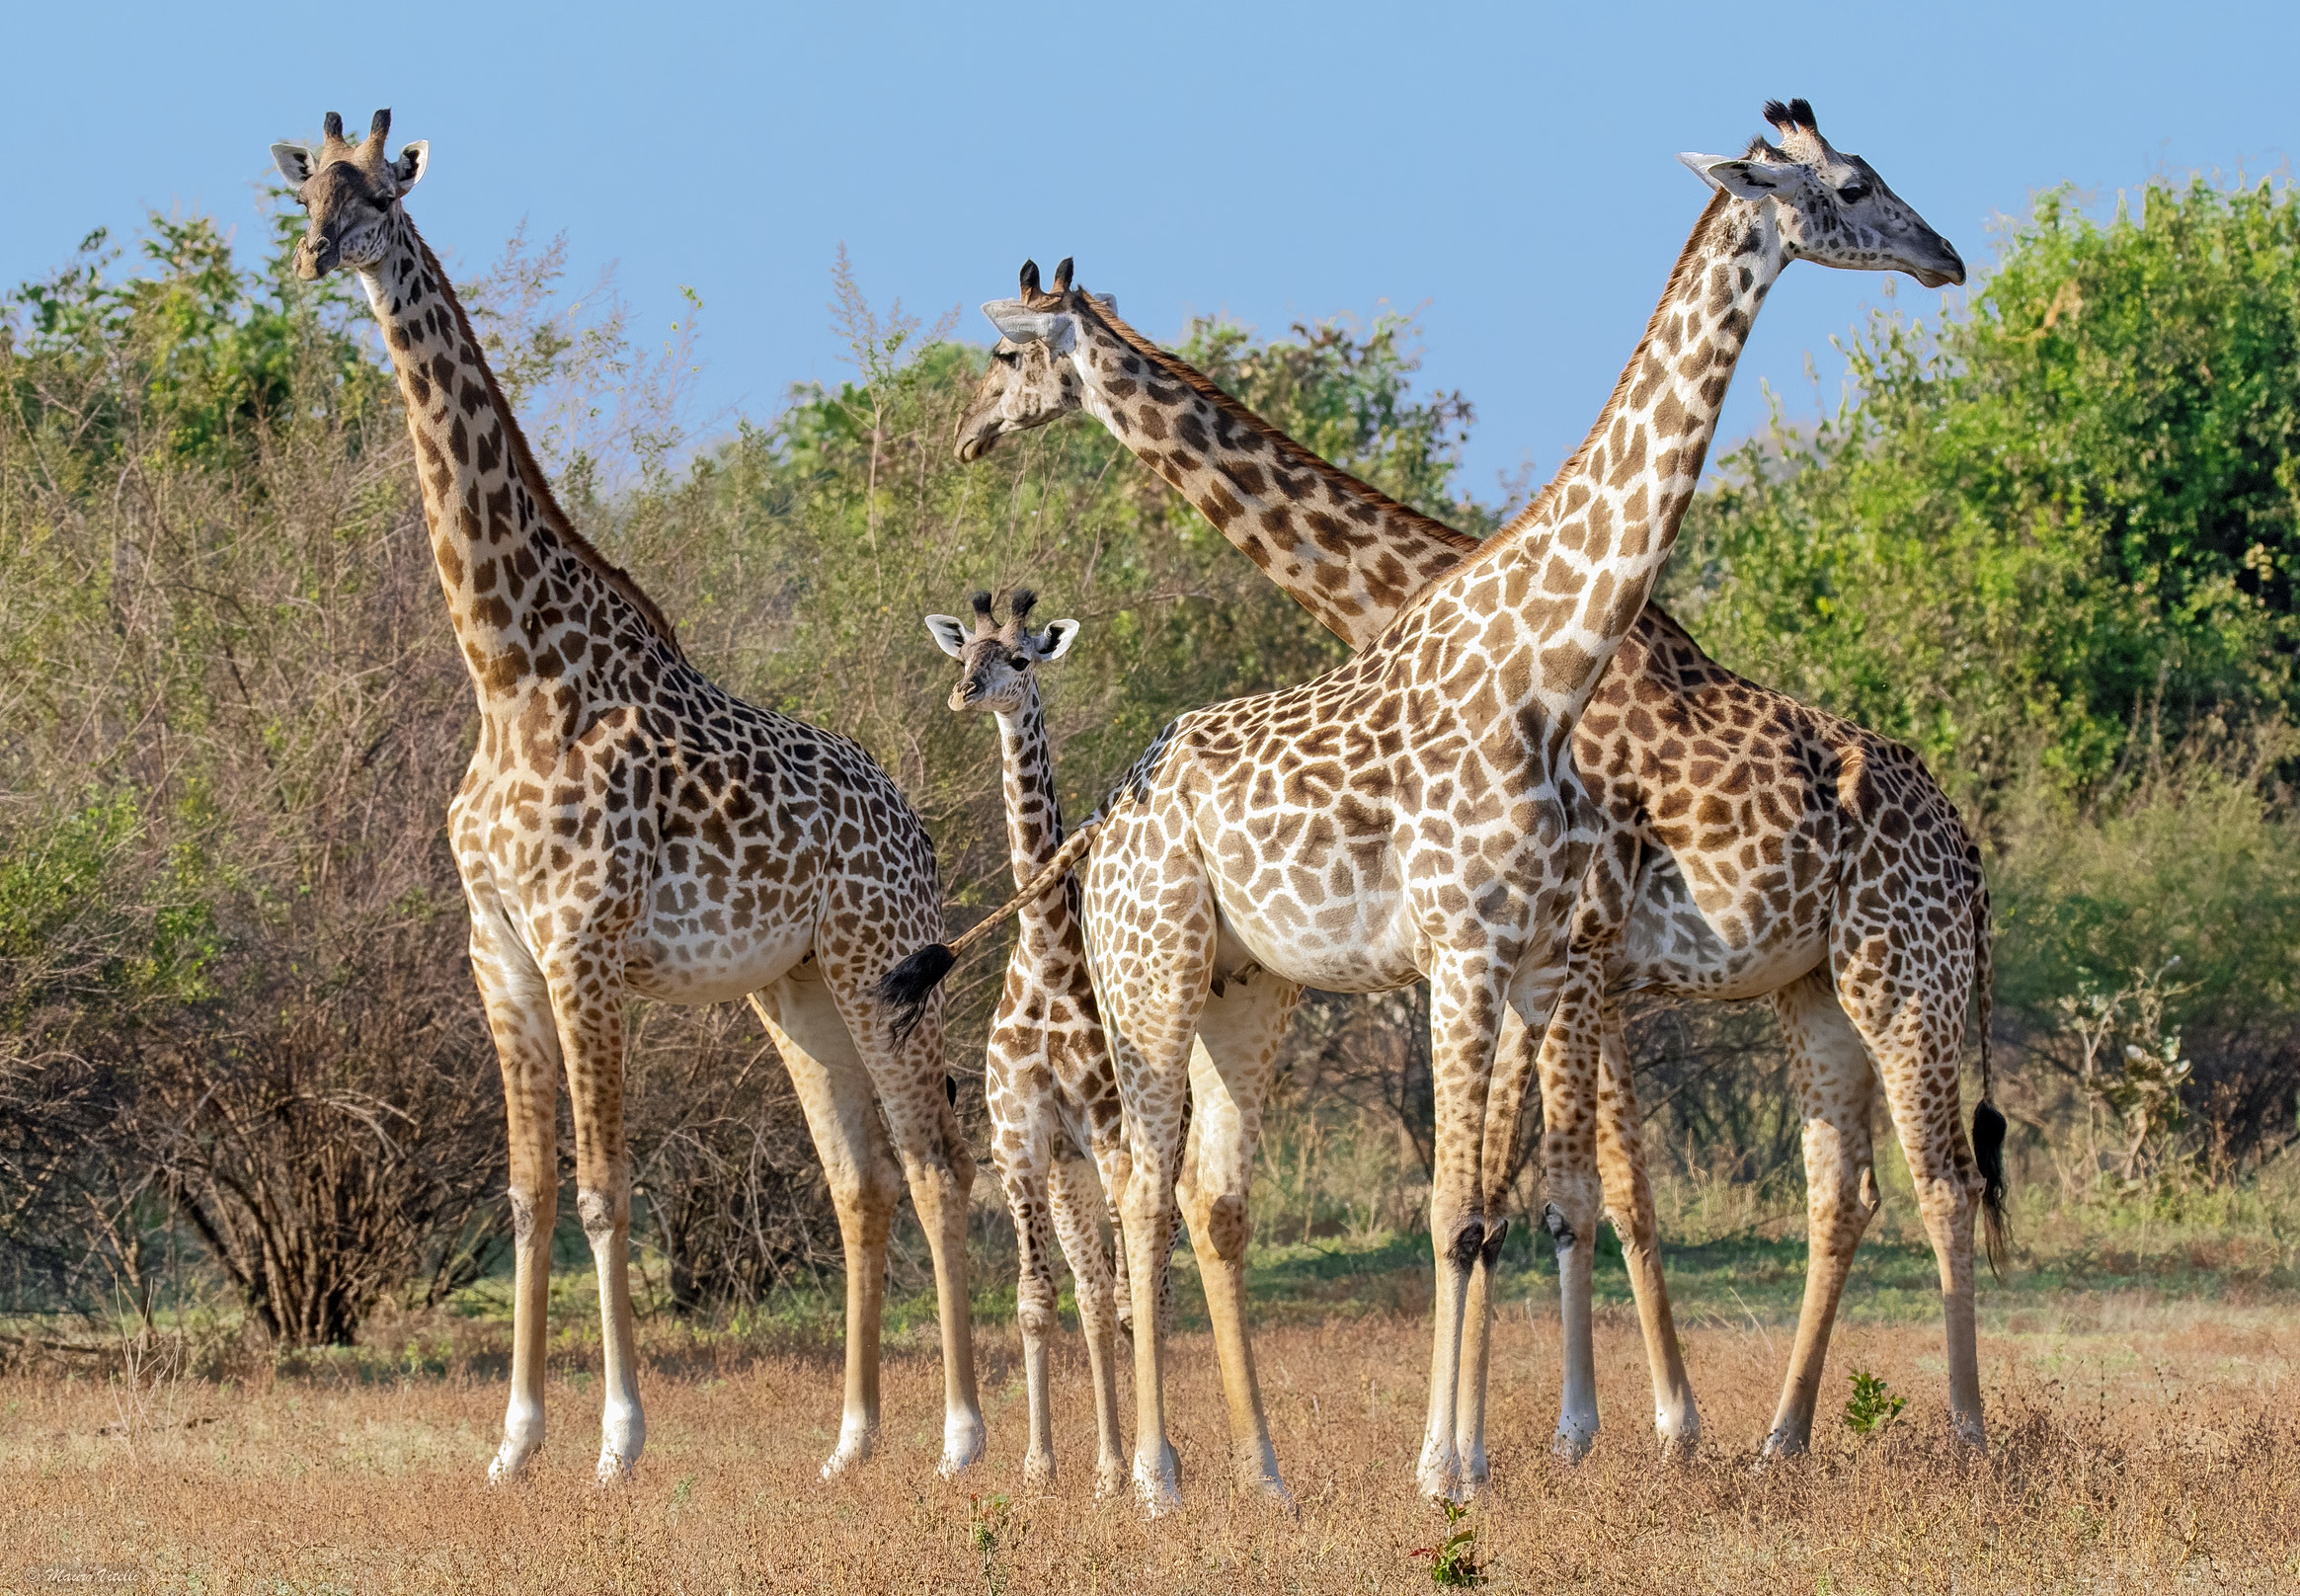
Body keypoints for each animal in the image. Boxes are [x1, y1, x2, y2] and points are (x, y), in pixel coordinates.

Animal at [269, 110, 985, 1485]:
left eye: (383, 192)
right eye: (304, 188)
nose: (317, 255)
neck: (506, 670)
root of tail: (913, 823)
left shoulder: (583, 947)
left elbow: (605, 1190)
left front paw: (617, 1439)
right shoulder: (496, 949)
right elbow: (527, 1194)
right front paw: (513, 1443)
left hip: (878, 963)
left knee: (935, 1161)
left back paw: (967, 1441)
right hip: (791, 987)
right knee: (859, 1180)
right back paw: (851, 1442)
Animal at [894, 100, 1966, 1510]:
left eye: (1005, 350)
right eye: (1850, 185)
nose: (1944, 256)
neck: (1537, 661)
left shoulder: (1546, 955)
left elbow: (1511, 1201)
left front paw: (1532, 1443)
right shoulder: (1497, 956)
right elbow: (1504, 1202)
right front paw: (1507, 1450)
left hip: (1871, 977)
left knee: (1922, 1185)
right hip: (1180, 975)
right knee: (1146, 1195)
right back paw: (1164, 1474)